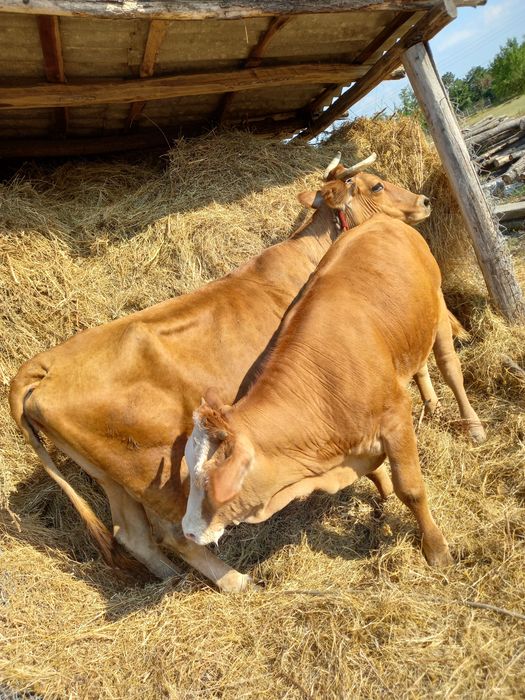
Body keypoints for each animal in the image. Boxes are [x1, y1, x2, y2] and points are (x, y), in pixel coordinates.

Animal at [9, 153, 439, 592]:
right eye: (376, 185)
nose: (424, 200)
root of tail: (44, 365)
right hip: (157, 472)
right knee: (175, 533)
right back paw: (235, 580)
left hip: (113, 479)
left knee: (132, 535)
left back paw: (173, 581)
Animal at [181, 180, 486, 577]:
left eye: (214, 480)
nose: (187, 531)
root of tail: (380, 224)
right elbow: (376, 475)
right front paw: (383, 501)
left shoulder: (395, 419)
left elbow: (412, 488)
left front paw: (435, 550)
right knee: (419, 366)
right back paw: (432, 405)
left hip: (436, 305)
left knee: (450, 370)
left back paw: (473, 426)